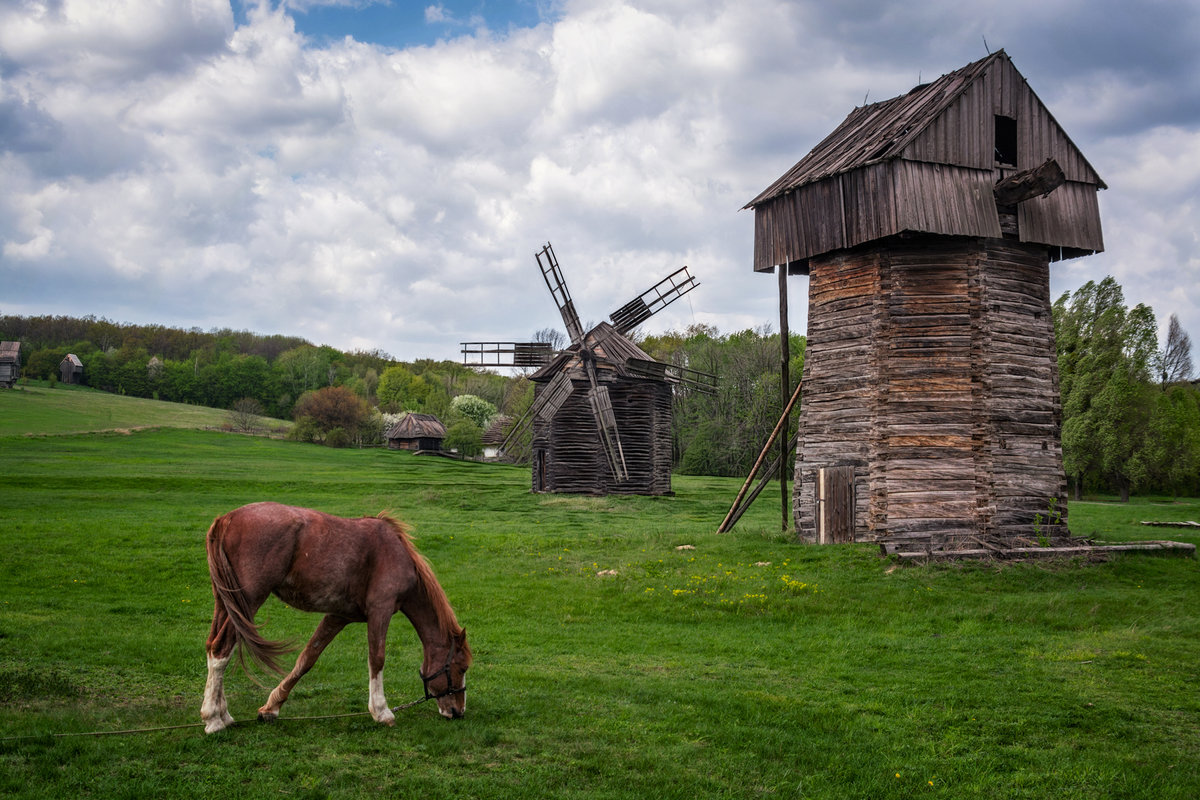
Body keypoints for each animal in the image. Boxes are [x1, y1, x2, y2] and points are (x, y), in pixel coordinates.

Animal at [201, 503, 468, 734]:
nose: (458, 712)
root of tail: (227, 519)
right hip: (247, 603)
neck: (395, 552)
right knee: (221, 649)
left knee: (214, 646)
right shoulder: (380, 611)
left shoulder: (337, 617)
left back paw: (224, 715)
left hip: (226, 605)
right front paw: (381, 711)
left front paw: (272, 707)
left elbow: (307, 659)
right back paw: (213, 719)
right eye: (462, 667)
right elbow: (377, 659)